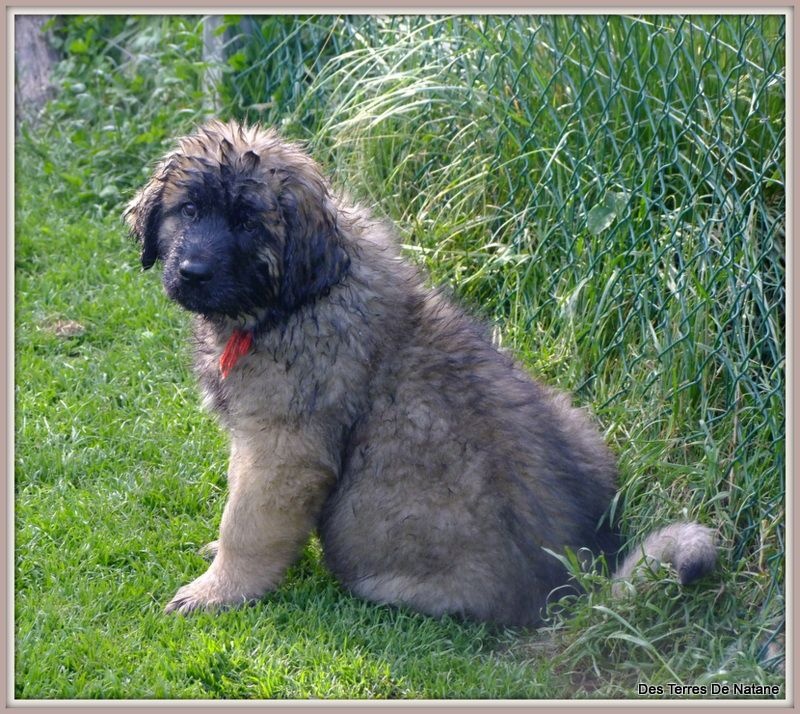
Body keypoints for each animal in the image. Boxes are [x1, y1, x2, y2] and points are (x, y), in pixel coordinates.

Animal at [124, 120, 716, 626]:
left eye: (247, 222)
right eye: (189, 210)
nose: (192, 272)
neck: (298, 296)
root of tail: (572, 584)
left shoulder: (284, 447)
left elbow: (247, 523)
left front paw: (216, 590)